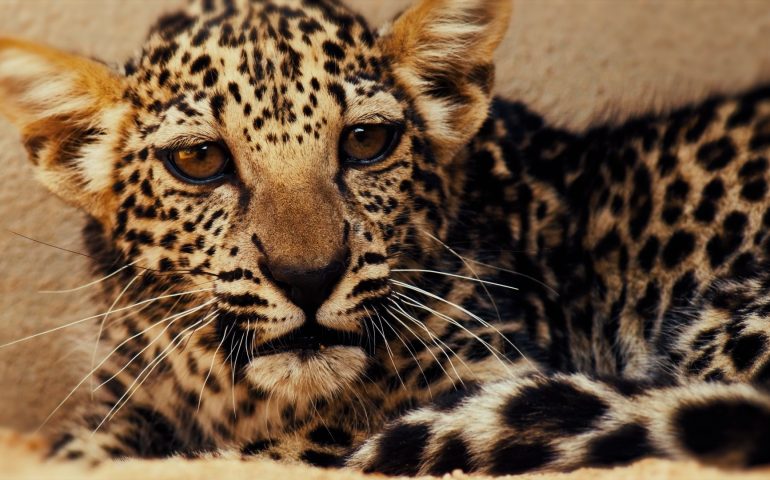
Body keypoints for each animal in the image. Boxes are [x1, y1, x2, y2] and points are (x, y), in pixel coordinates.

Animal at [2, 0, 770, 475]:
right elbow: (93, 437)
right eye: (198, 160)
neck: (235, 393)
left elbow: (312, 441)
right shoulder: (129, 393)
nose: (309, 278)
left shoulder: (491, 371)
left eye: (366, 142)